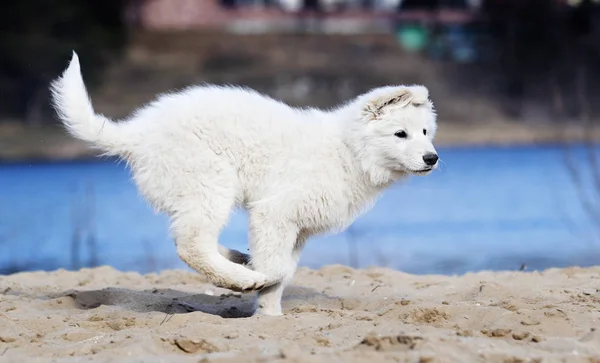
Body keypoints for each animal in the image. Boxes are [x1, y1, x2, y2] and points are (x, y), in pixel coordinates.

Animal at [49, 52, 438, 318]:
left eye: (424, 132)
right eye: (400, 134)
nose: (432, 158)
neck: (349, 150)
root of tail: (137, 133)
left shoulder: (297, 228)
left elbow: (282, 273)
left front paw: (269, 312)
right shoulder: (275, 213)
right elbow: (278, 268)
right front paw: (262, 286)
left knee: (190, 238)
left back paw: (239, 261)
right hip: (210, 185)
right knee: (191, 244)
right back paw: (240, 276)